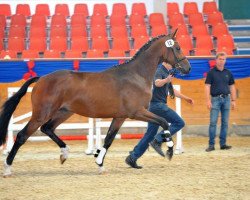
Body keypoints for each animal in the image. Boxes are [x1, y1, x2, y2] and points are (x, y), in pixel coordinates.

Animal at [0, 30, 191, 177]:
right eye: (178, 47)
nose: (188, 68)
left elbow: (108, 139)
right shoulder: (136, 112)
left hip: (64, 112)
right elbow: (164, 122)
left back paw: (64, 153)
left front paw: (99, 163)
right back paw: (8, 168)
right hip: (42, 113)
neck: (135, 75)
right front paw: (169, 151)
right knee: (22, 135)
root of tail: (41, 78)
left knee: (47, 128)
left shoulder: (120, 116)